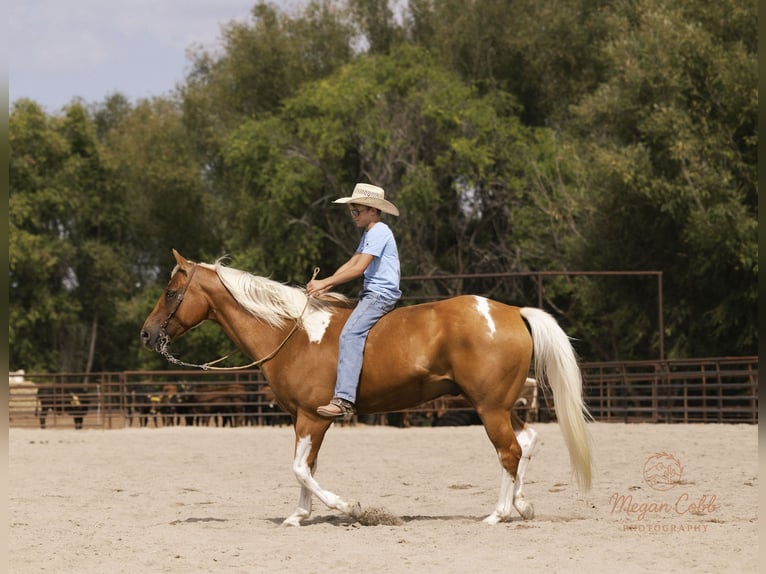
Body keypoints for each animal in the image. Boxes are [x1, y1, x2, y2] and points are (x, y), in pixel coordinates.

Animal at [140, 249, 592, 526]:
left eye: (170, 292)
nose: (146, 334)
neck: (292, 333)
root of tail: (513, 311)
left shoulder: (313, 417)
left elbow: (300, 468)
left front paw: (349, 507)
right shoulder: (302, 420)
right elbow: (306, 468)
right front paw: (298, 516)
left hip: (490, 408)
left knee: (509, 451)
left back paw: (498, 513)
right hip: (499, 404)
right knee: (527, 441)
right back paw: (521, 505)